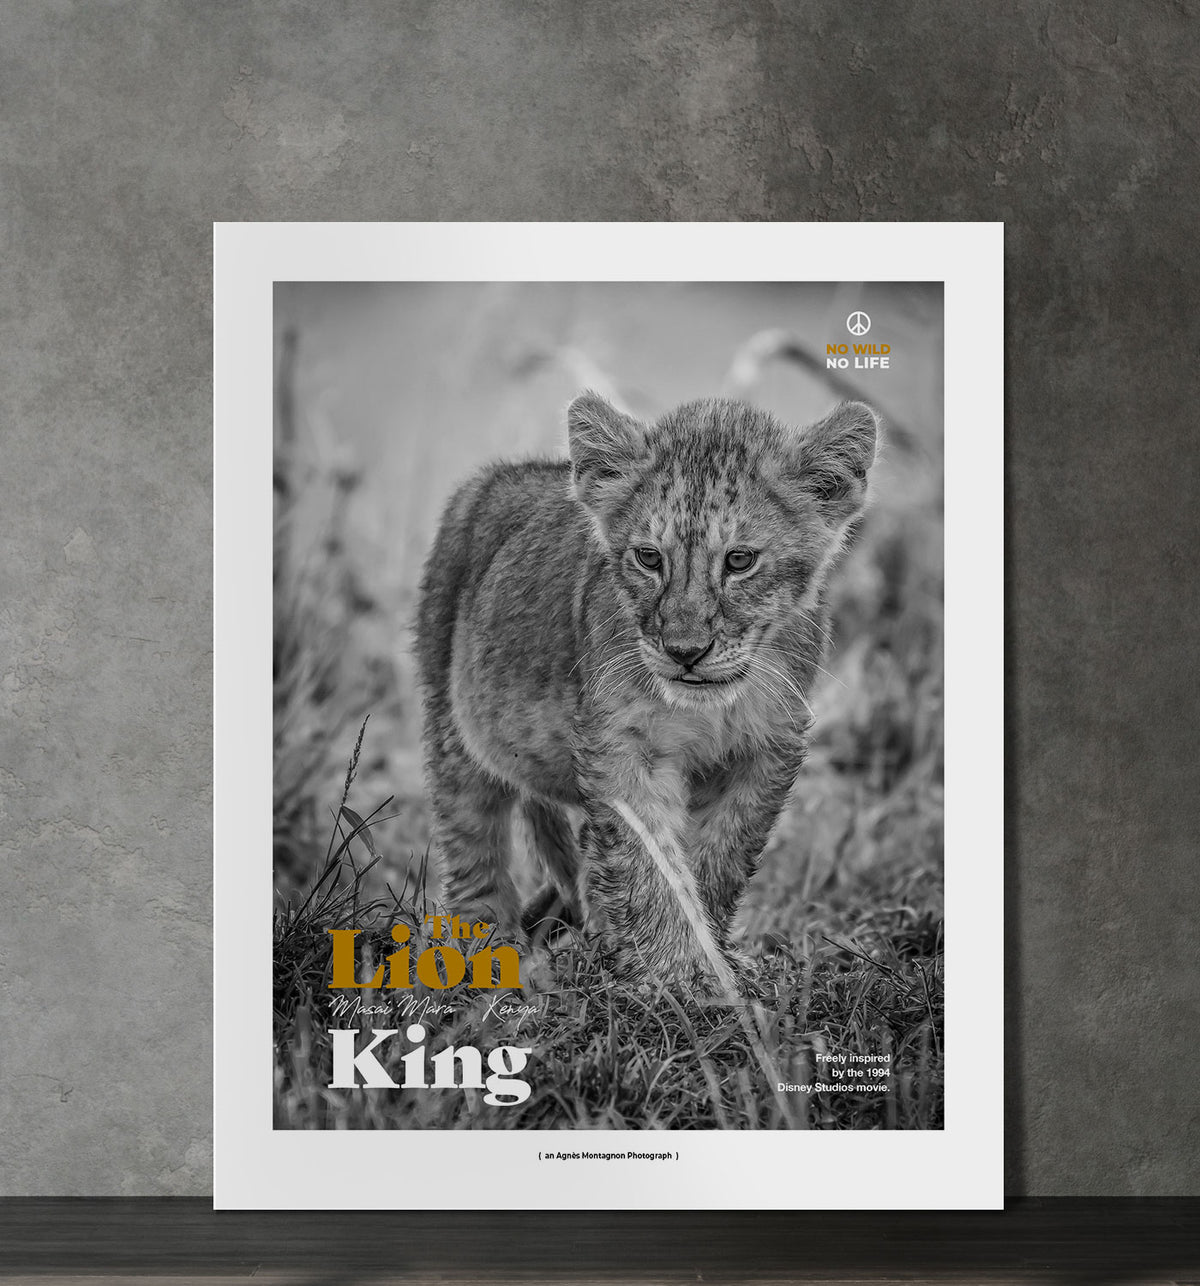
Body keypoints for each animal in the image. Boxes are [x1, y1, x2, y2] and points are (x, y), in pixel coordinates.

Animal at [414, 392, 878, 984]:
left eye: (740, 560)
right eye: (649, 557)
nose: (684, 651)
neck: (709, 707)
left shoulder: (766, 749)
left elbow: (718, 858)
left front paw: (706, 957)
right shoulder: (620, 744)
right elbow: (650, 863)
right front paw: (674, 971)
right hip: (452, 722)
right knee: (474, 841)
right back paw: (484, 951)